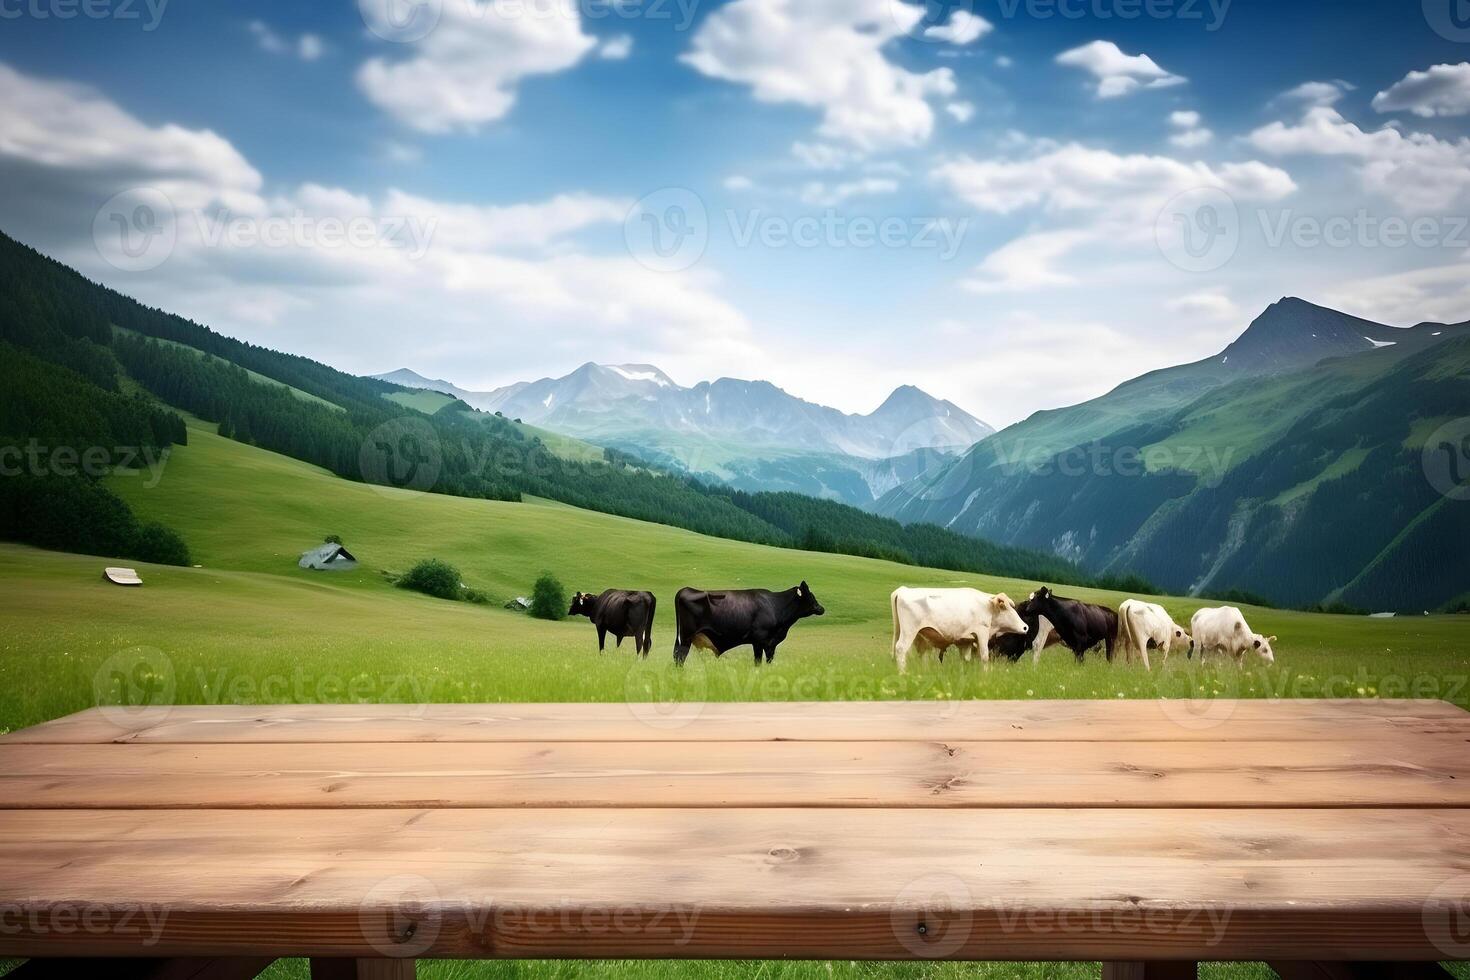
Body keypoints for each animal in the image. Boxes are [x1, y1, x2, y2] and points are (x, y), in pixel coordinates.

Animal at [673, 581, 823, 667]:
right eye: (811, 596)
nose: (822, 608)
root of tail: (686, 589)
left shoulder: (770, 644)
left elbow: (768, 661)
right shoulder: (759, 640)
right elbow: (758, 662)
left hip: (680, 638)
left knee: (675, 656)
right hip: (686, 637)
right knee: (680, 657)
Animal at [887, 590, 1029, 675]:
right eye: (1005, 607)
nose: (1025, 627)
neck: (986, 607)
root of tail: (903, 590)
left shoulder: (966, 641)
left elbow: (966, 659)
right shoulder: (982, 633)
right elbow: (984, 657)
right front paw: (985, 675)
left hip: (918, 636)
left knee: (921, 654)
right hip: (909, 632)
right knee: (901, 649)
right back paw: (903, 674)